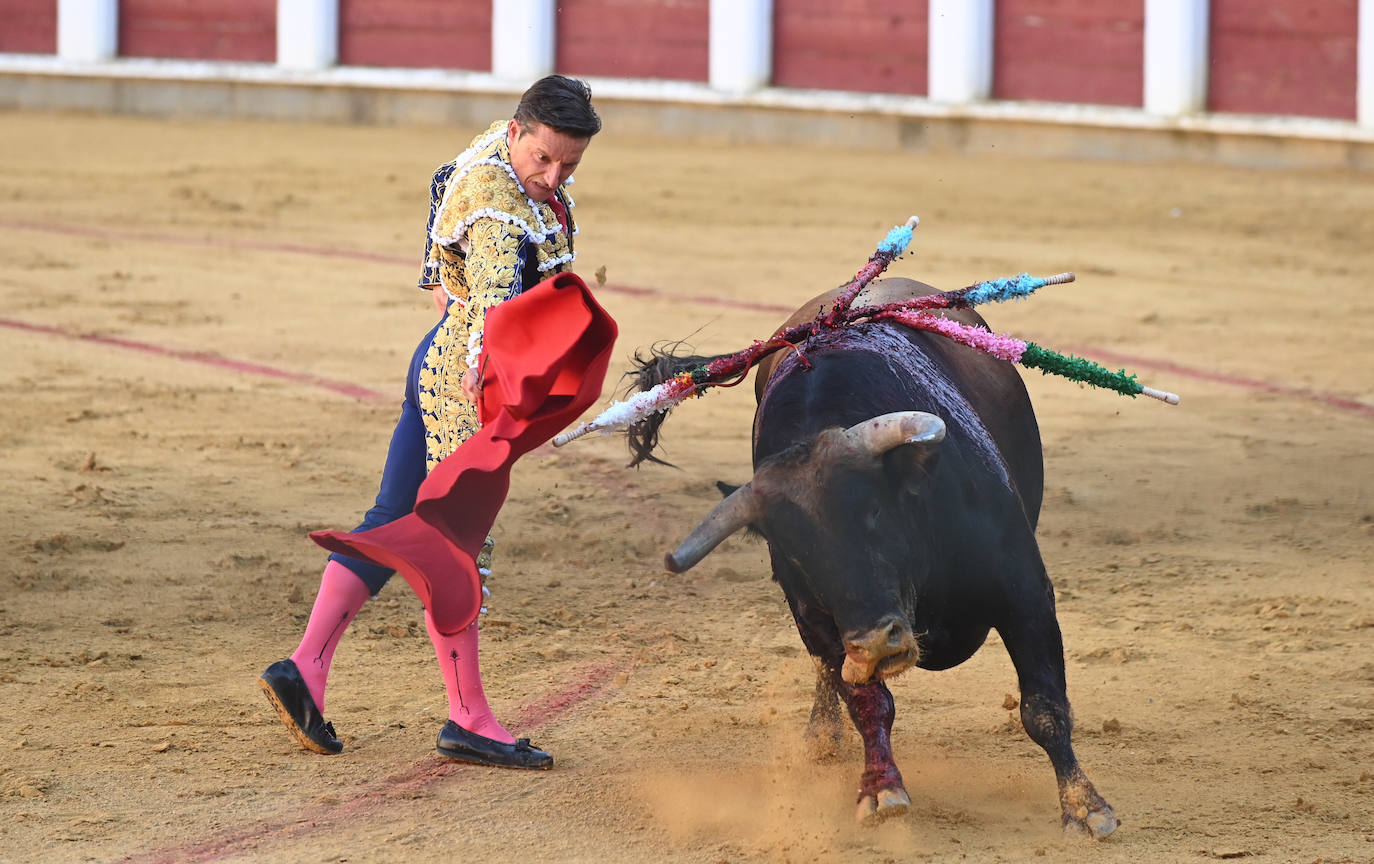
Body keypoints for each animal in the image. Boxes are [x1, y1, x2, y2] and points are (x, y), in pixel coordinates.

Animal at [629, 277, 1121, 835]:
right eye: (795, 554)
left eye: (875, 512)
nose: (875, 645)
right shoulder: (817, 617)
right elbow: (867, 701)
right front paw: (881, 787)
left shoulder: (1024, 589)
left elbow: (1043, 706)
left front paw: (1085, 807)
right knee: (828, 673)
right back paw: (822, 736)